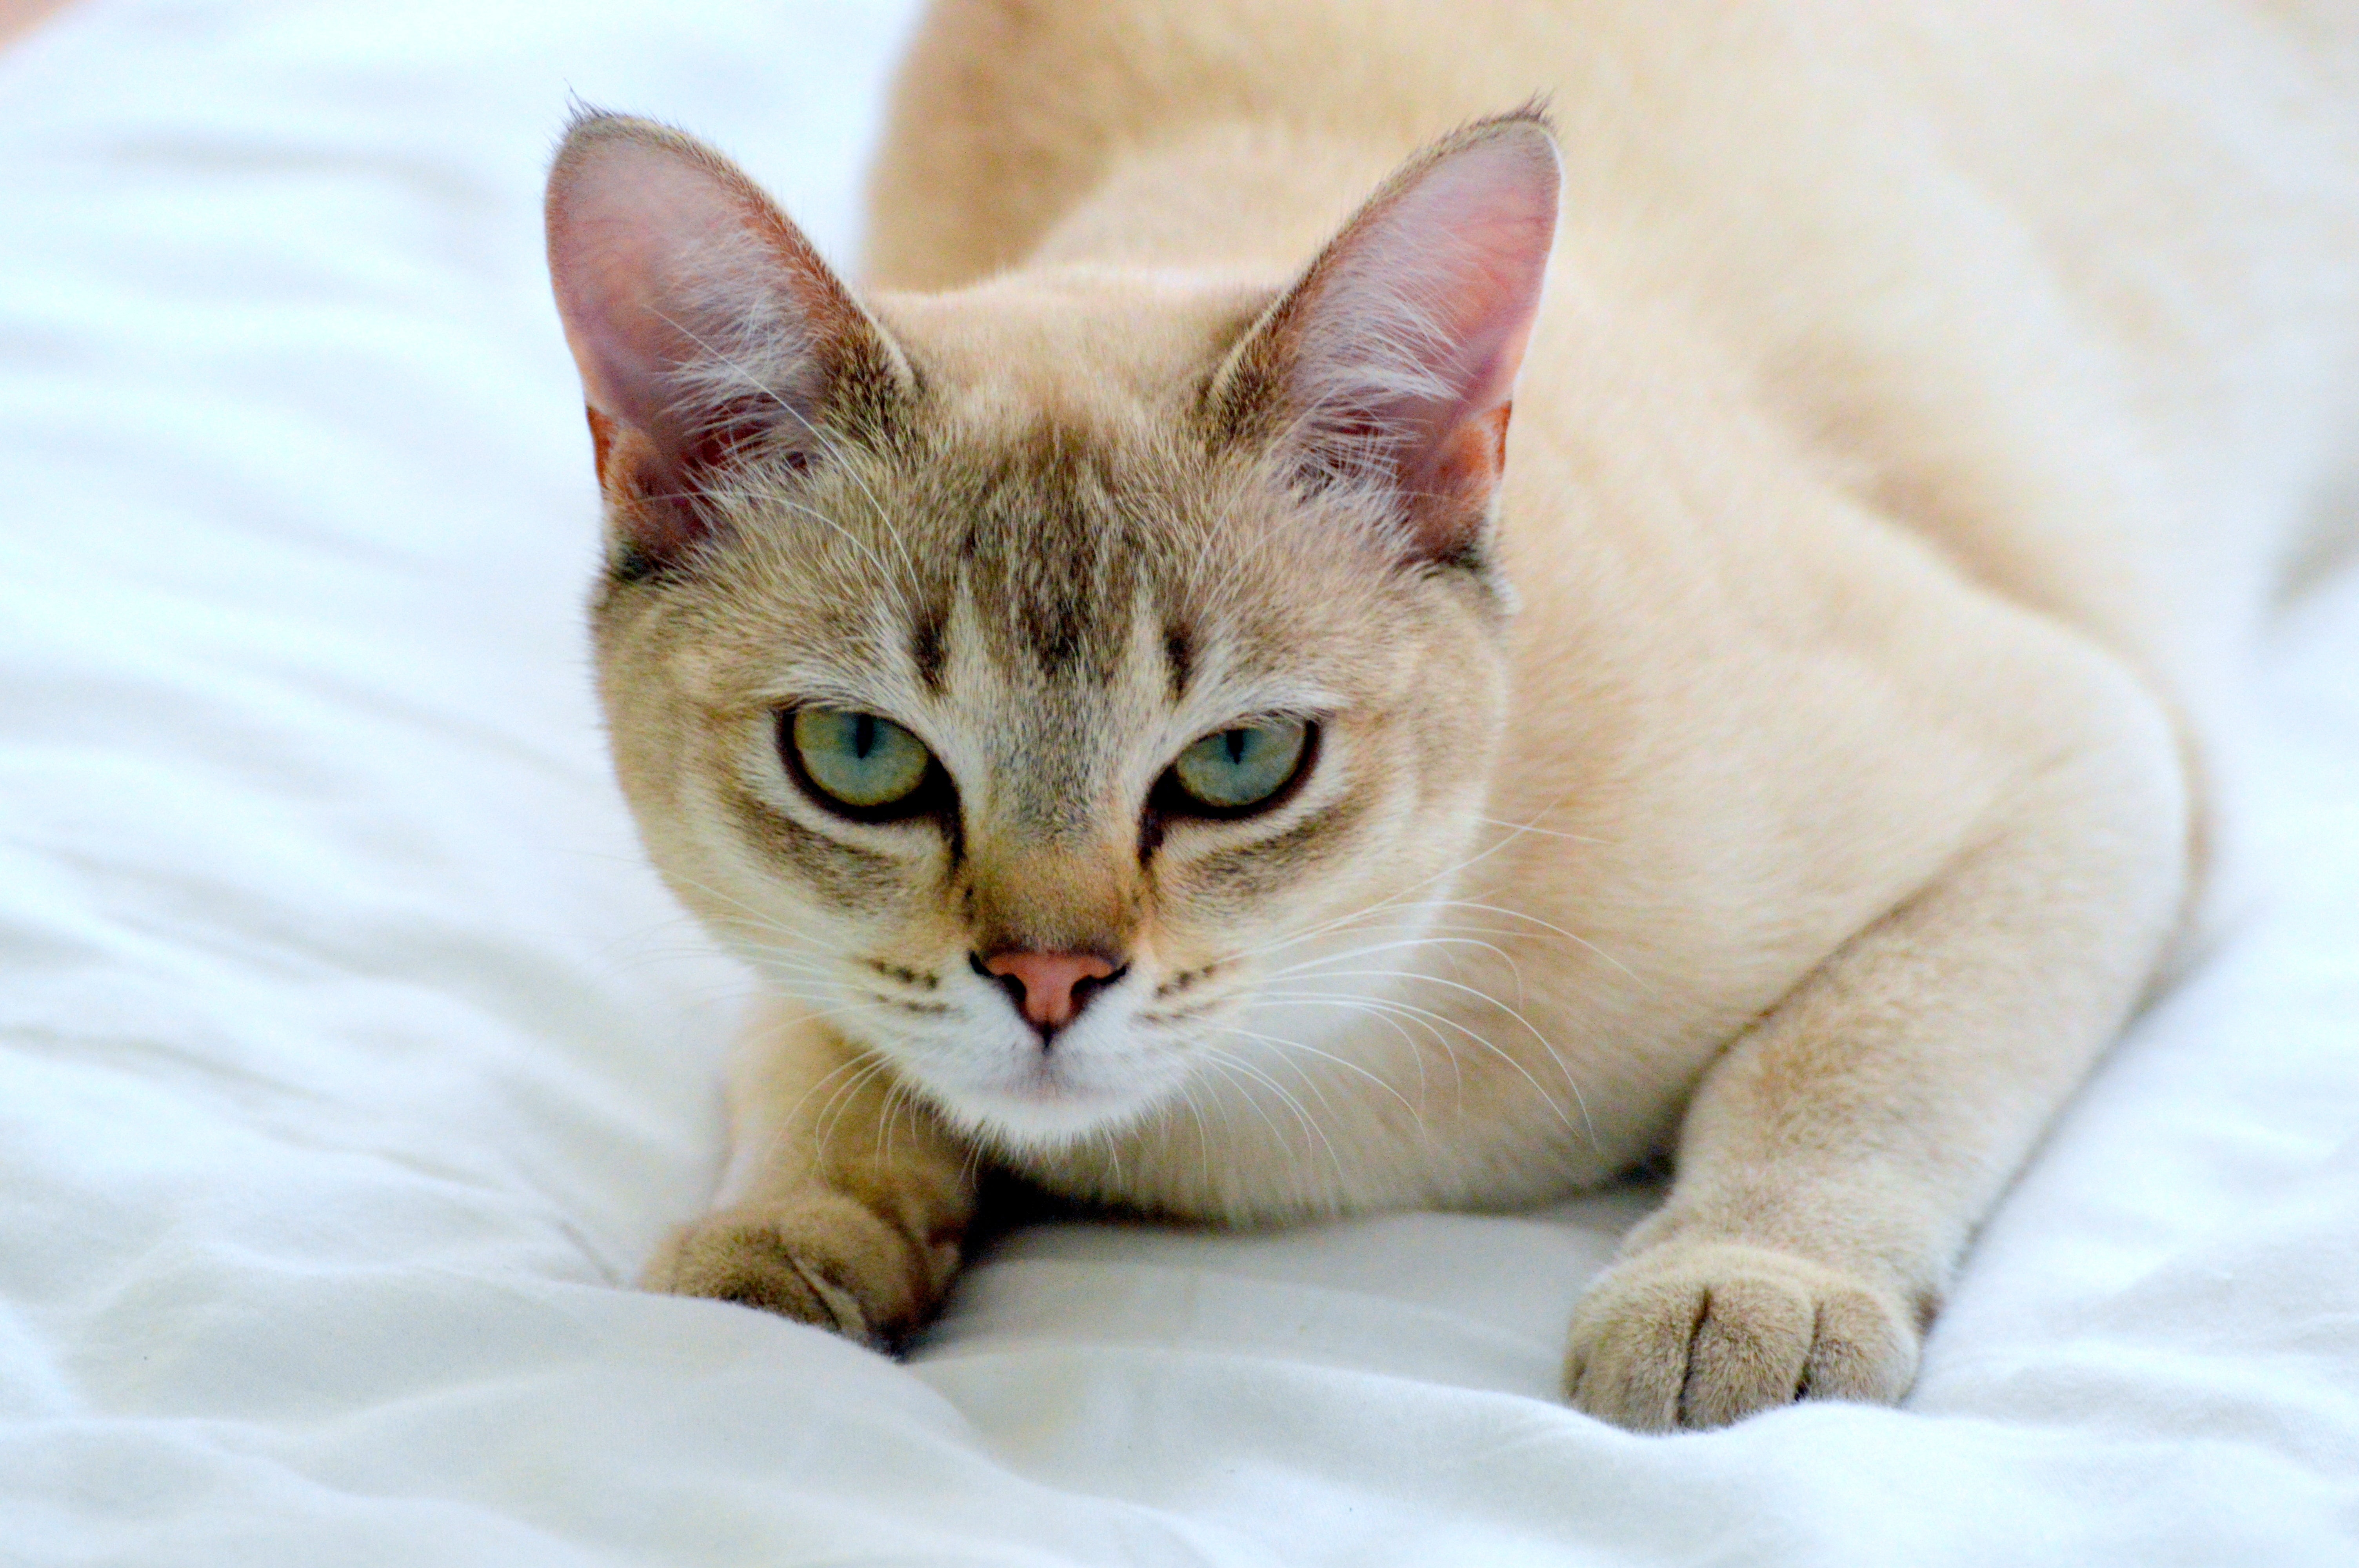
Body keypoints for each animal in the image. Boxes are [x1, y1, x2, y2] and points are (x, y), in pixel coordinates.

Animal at [547, 0, 2359, 1424]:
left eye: (1238, 763)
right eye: (860, 760)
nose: (1050, 984)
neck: (1265, 1123)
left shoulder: (2084, 757)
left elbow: (1843, 1061)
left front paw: (1732, 1290)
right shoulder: (801, 963)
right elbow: (816, 1058)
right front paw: (788, 1248)